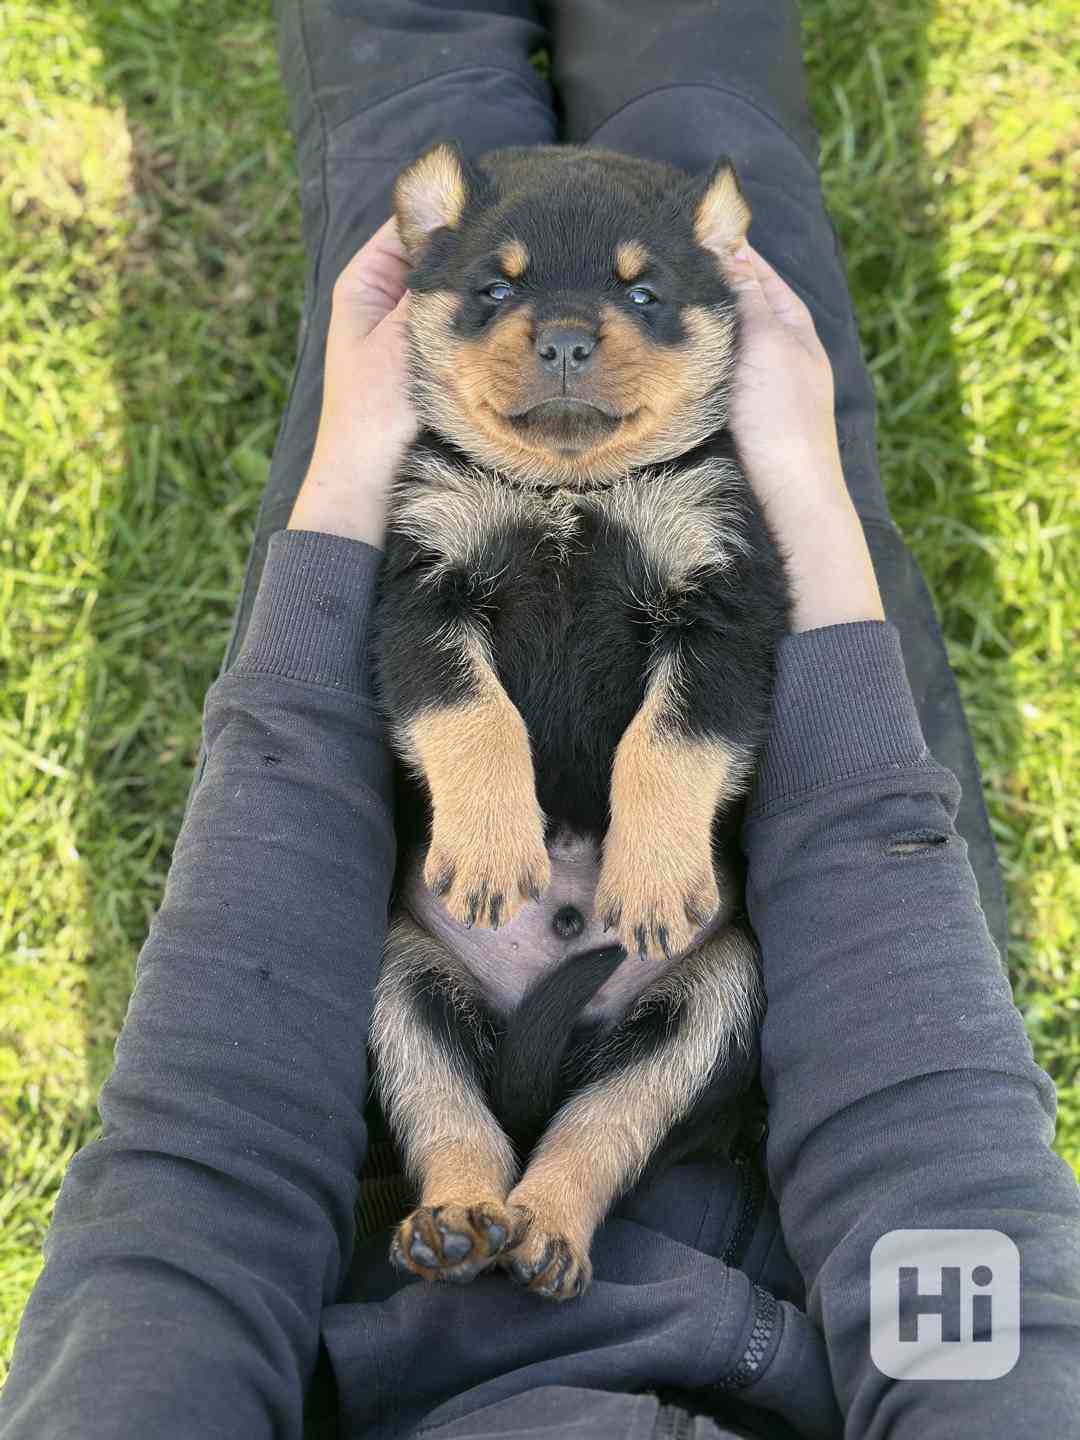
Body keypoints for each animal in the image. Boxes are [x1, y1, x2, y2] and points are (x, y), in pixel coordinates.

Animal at [368, 140, 789, 1301]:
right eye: (493, 288)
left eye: (643, 292)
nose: (563, 338)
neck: (570, 489)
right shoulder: (421, 595)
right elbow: (475, 714)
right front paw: (493, 850)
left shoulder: (726, 608)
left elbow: (667, 743)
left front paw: (646, 878)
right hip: (399, 986)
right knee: (454, 1110)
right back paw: (459, 1222)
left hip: (709, 1006)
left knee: (599, 1122)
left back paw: (546, 1227)